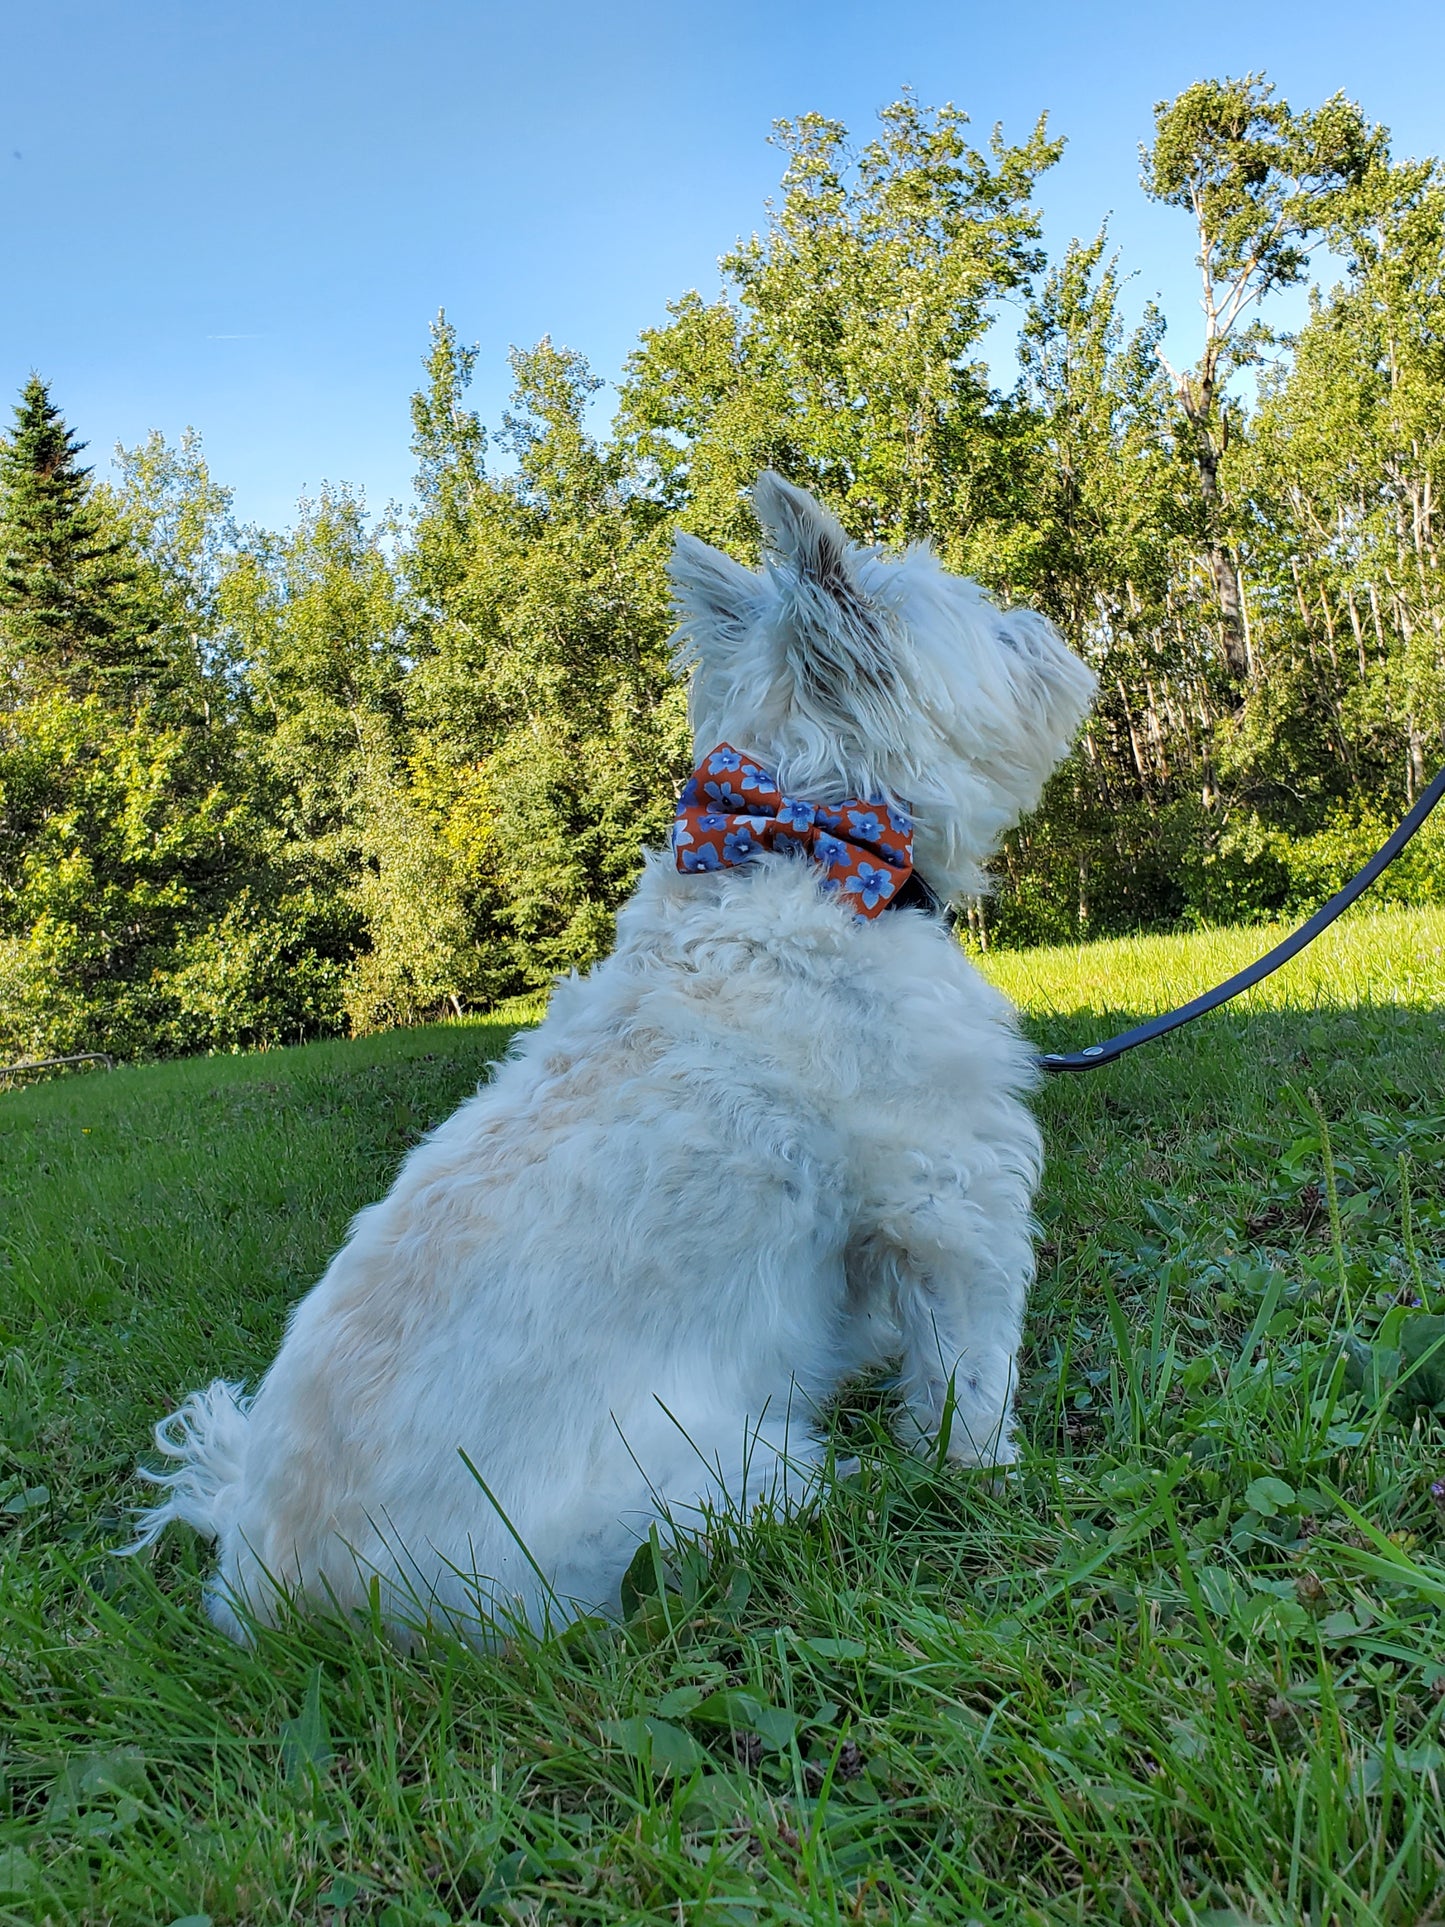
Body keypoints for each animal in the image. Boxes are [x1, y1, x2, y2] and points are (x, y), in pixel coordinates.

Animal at [130, 477, 1094, 1641]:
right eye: (980, 616)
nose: (1047, 624)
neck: (810, 849)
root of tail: (269, 1583)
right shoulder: (949, 1201)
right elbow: (968, 1372)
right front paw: (991, 1473)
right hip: (696, 1480)